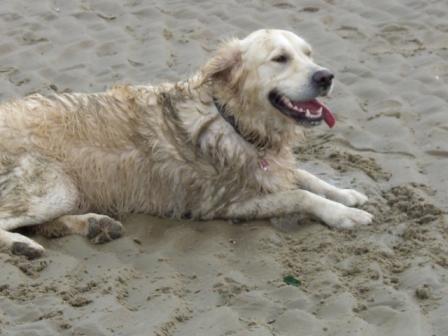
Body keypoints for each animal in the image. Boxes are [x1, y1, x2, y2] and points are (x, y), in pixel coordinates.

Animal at [0, 28, 372, 258]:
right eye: (280, 58)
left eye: (308, 54)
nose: (326, 76)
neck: (234, 120)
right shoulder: (227, 204)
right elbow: (300, 195)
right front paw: (343, 215)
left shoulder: (269, 168)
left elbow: (306, 176)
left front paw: (347, 195)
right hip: (54, 186)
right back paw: (21, 245)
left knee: (43, 224)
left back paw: (95, 225)